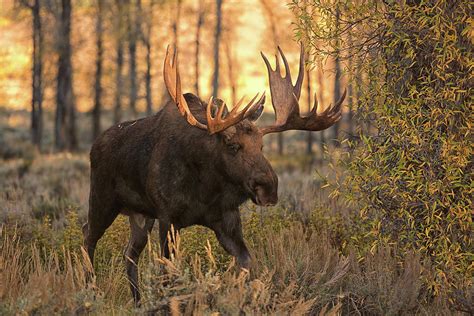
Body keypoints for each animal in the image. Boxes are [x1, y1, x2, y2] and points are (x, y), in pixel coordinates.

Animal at [83, 44, 346, 304]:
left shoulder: (226, 218)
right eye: (232, 146)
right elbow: (168, 274)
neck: (206, 187)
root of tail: (94, 145)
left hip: (140, 215)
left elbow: (246, 263)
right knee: (88, 236)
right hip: (103, 199)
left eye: (261, 146)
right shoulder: (168, 217)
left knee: (129, 253)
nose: (269, 188)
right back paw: (90, 292)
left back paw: (137, 301)